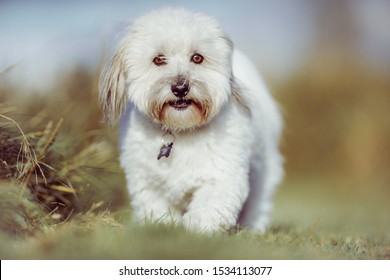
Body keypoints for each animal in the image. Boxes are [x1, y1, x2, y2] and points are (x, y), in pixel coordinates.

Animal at [99, 8, 284, 232]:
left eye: (197, 57)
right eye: (158, 59)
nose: (180, 88)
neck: (181, 130)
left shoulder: (221, 177)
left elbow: (208, 210)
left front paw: (195, 231)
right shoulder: (148, 183)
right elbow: (157, 211)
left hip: (262, 168)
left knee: (259, 201)